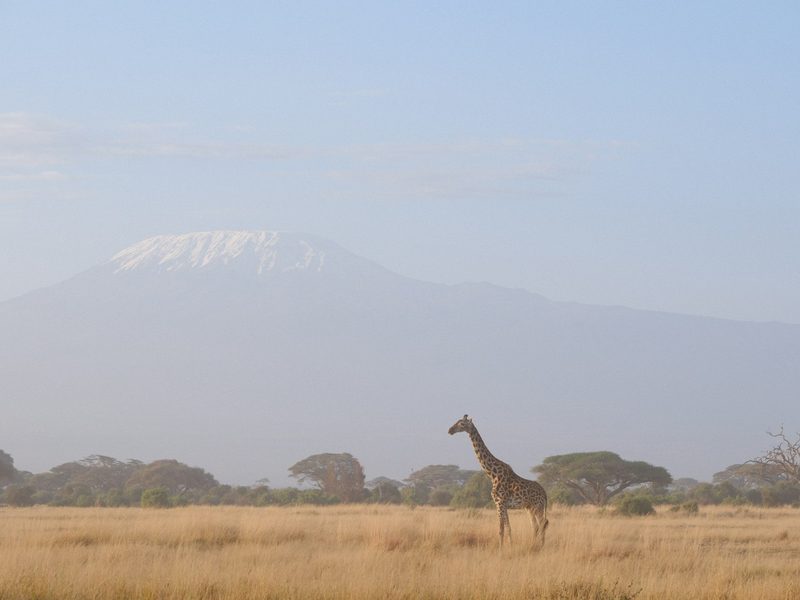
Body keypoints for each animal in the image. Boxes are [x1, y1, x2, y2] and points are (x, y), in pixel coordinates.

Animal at [448, 414, 548, 549]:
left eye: (462, 424)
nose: (450, 430)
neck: (492, 473)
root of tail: (544, 493)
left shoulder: (499, 503)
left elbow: (501, 529)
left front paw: (502, 549)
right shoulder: (502, 504)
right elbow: (507, 528)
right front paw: (509, 546)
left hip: (538, 507)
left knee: (543, 524)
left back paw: (541, 546)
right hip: (530, 507)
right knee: (536, 526)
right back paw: (534, 545)